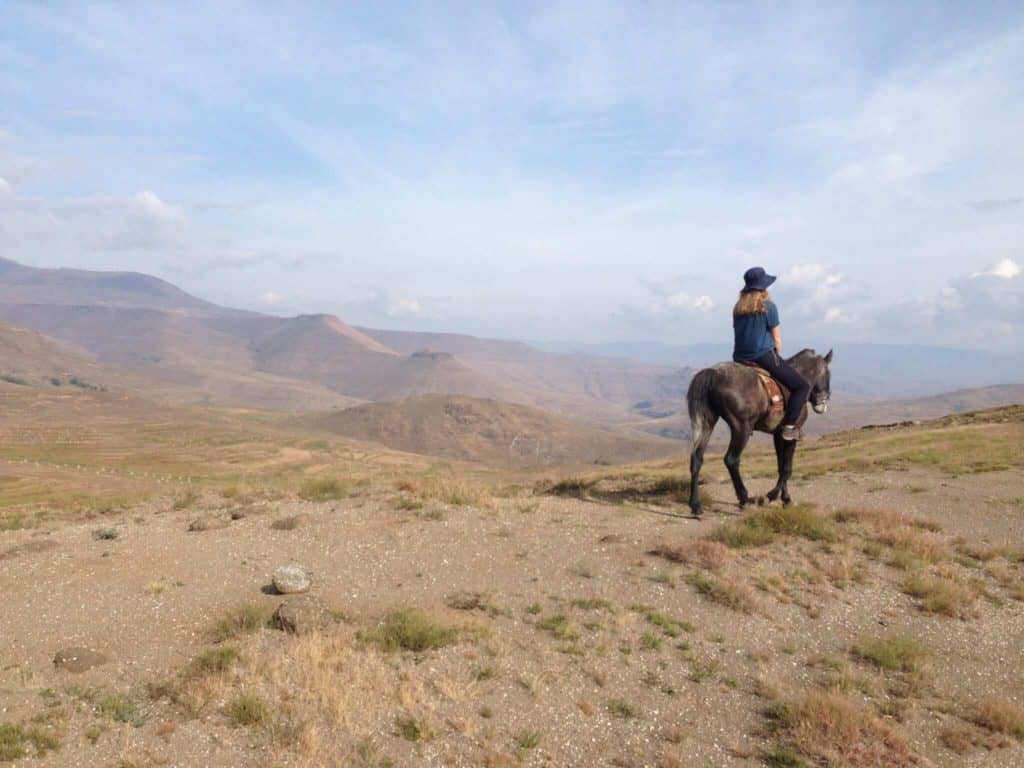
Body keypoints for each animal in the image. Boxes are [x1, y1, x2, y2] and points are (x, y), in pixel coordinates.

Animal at [679, 348, 831, 518]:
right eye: (828, 374)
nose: (823, 403)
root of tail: (713, 374)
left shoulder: (778, 435)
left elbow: (780, 467)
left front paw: (785, 499)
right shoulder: (792, 434)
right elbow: (787, 469)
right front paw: (771, 496)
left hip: (708, 423)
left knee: (697, 458)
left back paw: (696, 506)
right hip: (741, 428)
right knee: (731, 460)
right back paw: (744, 499)